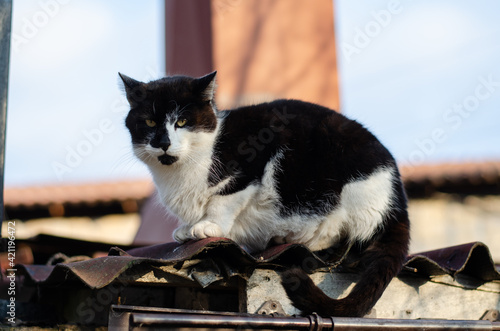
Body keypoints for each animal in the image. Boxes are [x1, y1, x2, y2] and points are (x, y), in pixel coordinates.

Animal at [121, 71, 410, 318]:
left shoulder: (253, 162)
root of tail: (398, 198)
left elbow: (223, 200)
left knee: (342, 233)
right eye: (149, 121)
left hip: (350, 184)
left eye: (181, 122)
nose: (162, 143)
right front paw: (188, 228)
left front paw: (208, 226)